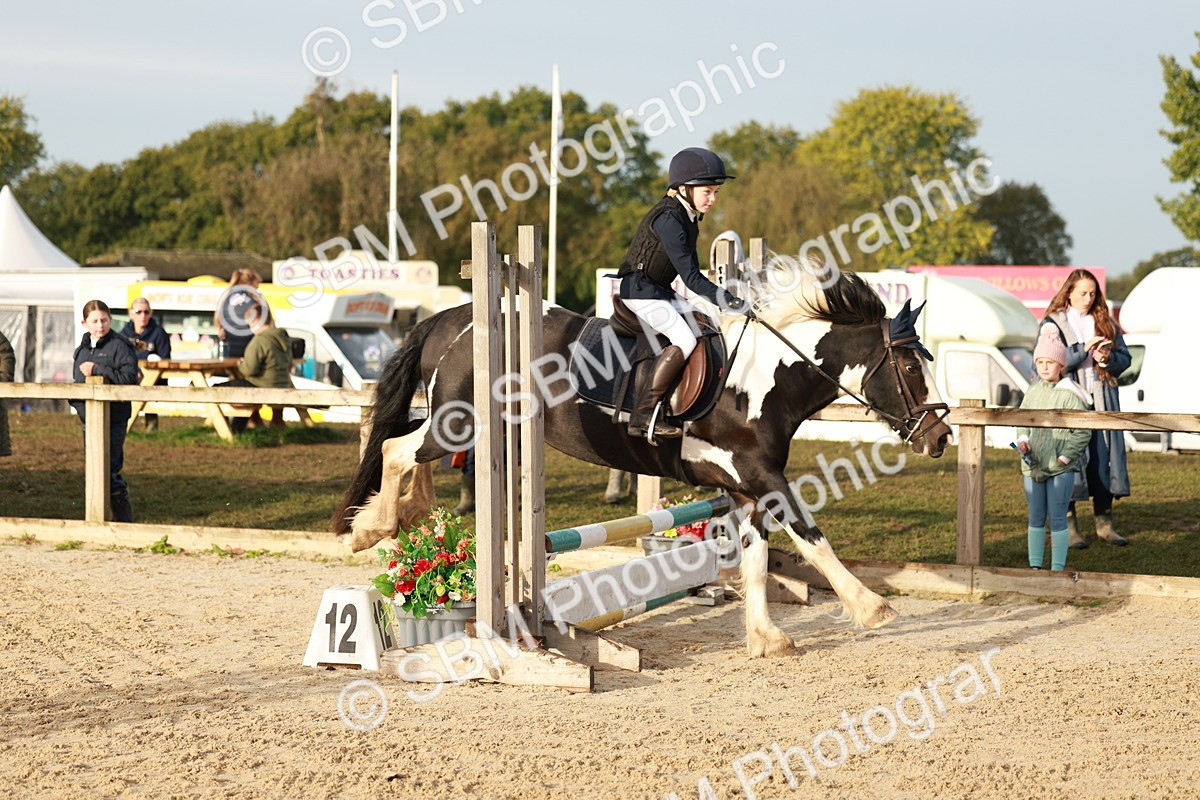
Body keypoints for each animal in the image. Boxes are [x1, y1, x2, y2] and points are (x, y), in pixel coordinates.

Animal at [333, 262, 952, 656]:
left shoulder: (745, 489)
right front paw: (871, 607)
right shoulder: (763, 477)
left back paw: (410, 513)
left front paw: (766, 638)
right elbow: (812, 535)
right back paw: (372, 528)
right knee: (394, 448)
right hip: (462, 421)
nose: (941, 437)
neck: (762, 382)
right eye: (911, 367)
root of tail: (451, 318)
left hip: (478, 427)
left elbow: (755, 561)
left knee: (409, 449)